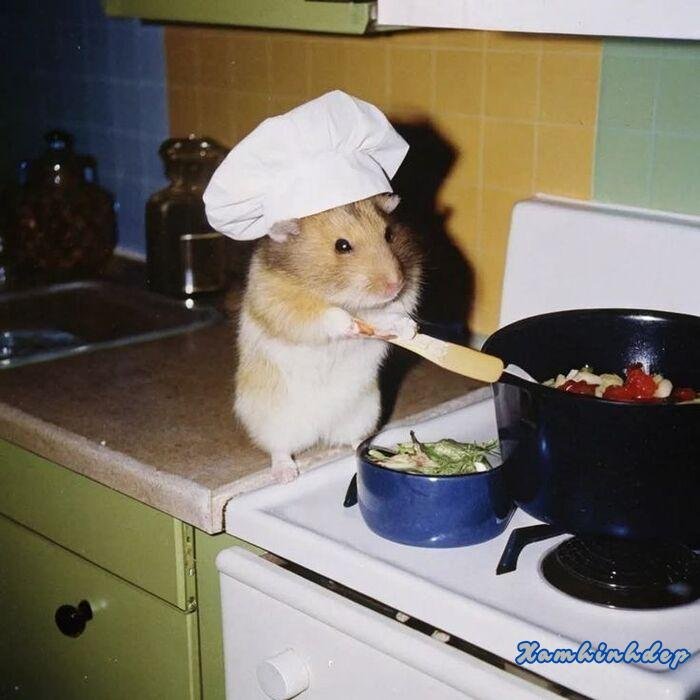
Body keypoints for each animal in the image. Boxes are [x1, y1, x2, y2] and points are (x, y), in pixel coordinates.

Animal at [234, 193, 423, 482]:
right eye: (342, 246)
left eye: (389, 234)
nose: (394, 285)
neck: (342, 295)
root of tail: (320, 431)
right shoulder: (282, 304)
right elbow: (327, 316)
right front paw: (351, 325)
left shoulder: (401, 296)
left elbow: (386, 315)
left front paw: (409, 330)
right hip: (274, 420)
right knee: (280, 449)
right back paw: (287, 475)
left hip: (364, 411)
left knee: (353, 439)